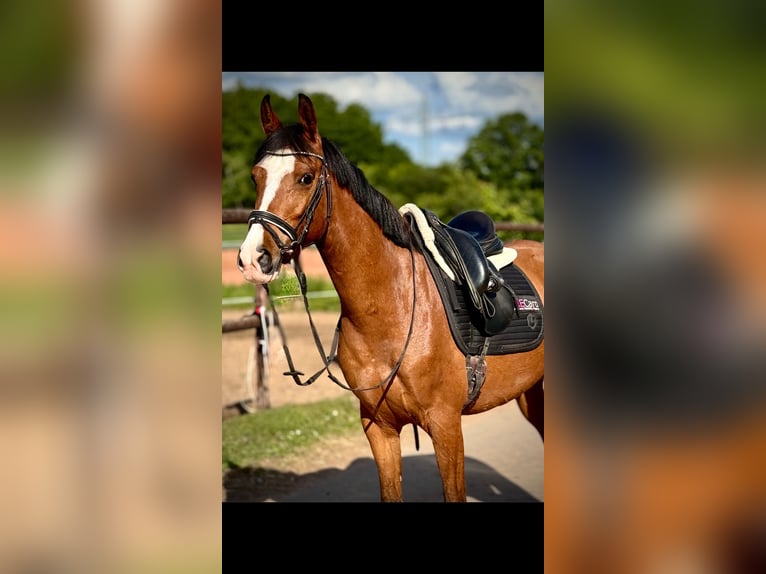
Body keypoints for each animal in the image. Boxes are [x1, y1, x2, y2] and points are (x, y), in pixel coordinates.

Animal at [237, 93, 544, 502]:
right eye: (256, 176)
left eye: (305, 177)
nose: (252, 258)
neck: (389, 308)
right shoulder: (378, 427)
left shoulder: (446, 427)